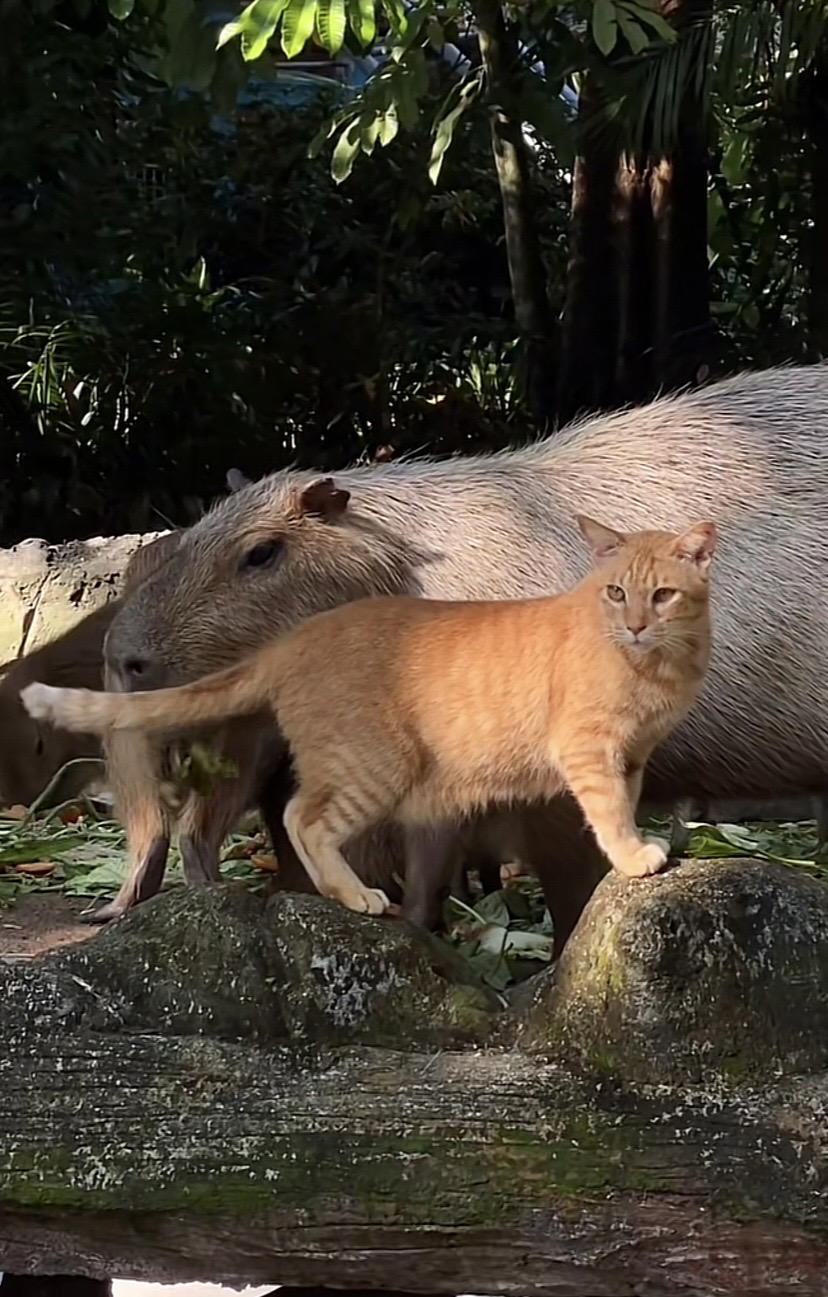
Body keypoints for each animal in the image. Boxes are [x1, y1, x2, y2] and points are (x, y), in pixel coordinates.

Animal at [22, 511, 716, 918]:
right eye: (616, 592)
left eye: (662, 594)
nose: (635, 624)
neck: (656, 663)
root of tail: (294, 638)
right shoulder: (588, 751)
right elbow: (608, 814)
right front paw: (633, 857)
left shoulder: (632, 756)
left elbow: (621, 808)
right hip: (374, 766)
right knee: (302, 821)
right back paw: (356, 895)